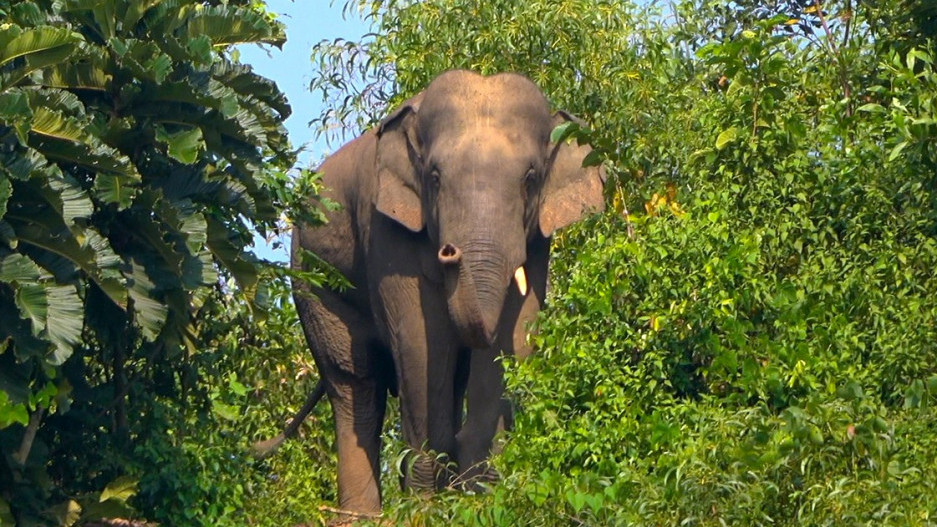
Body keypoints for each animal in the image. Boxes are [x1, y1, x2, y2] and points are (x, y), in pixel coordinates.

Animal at [284, 70, 604, 514]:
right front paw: (426, 505)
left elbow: (515, 336)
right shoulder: (386, 232)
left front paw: (482, 493)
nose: (450, 251)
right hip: (312, 277)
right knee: (354, 382)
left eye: (530, 179)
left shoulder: (538, 239)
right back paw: (362, 515)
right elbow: (421, 341)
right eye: (434, 177)